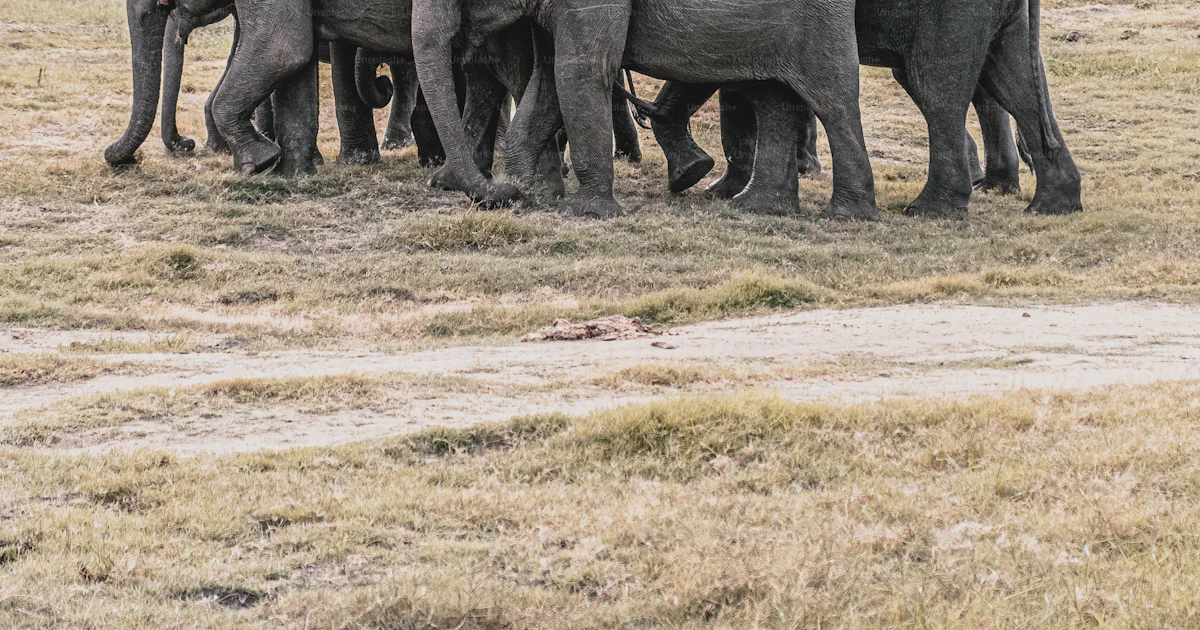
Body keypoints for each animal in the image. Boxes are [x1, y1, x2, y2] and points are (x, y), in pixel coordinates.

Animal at [411, 0, 879, 220]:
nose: (491, 195)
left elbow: (580, 70)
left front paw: (585, 213)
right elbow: (548, 77)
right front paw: (527, 192)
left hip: (818, 20)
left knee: (832, 100)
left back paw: (846, 216)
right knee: (775, 99)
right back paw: (759, 207)